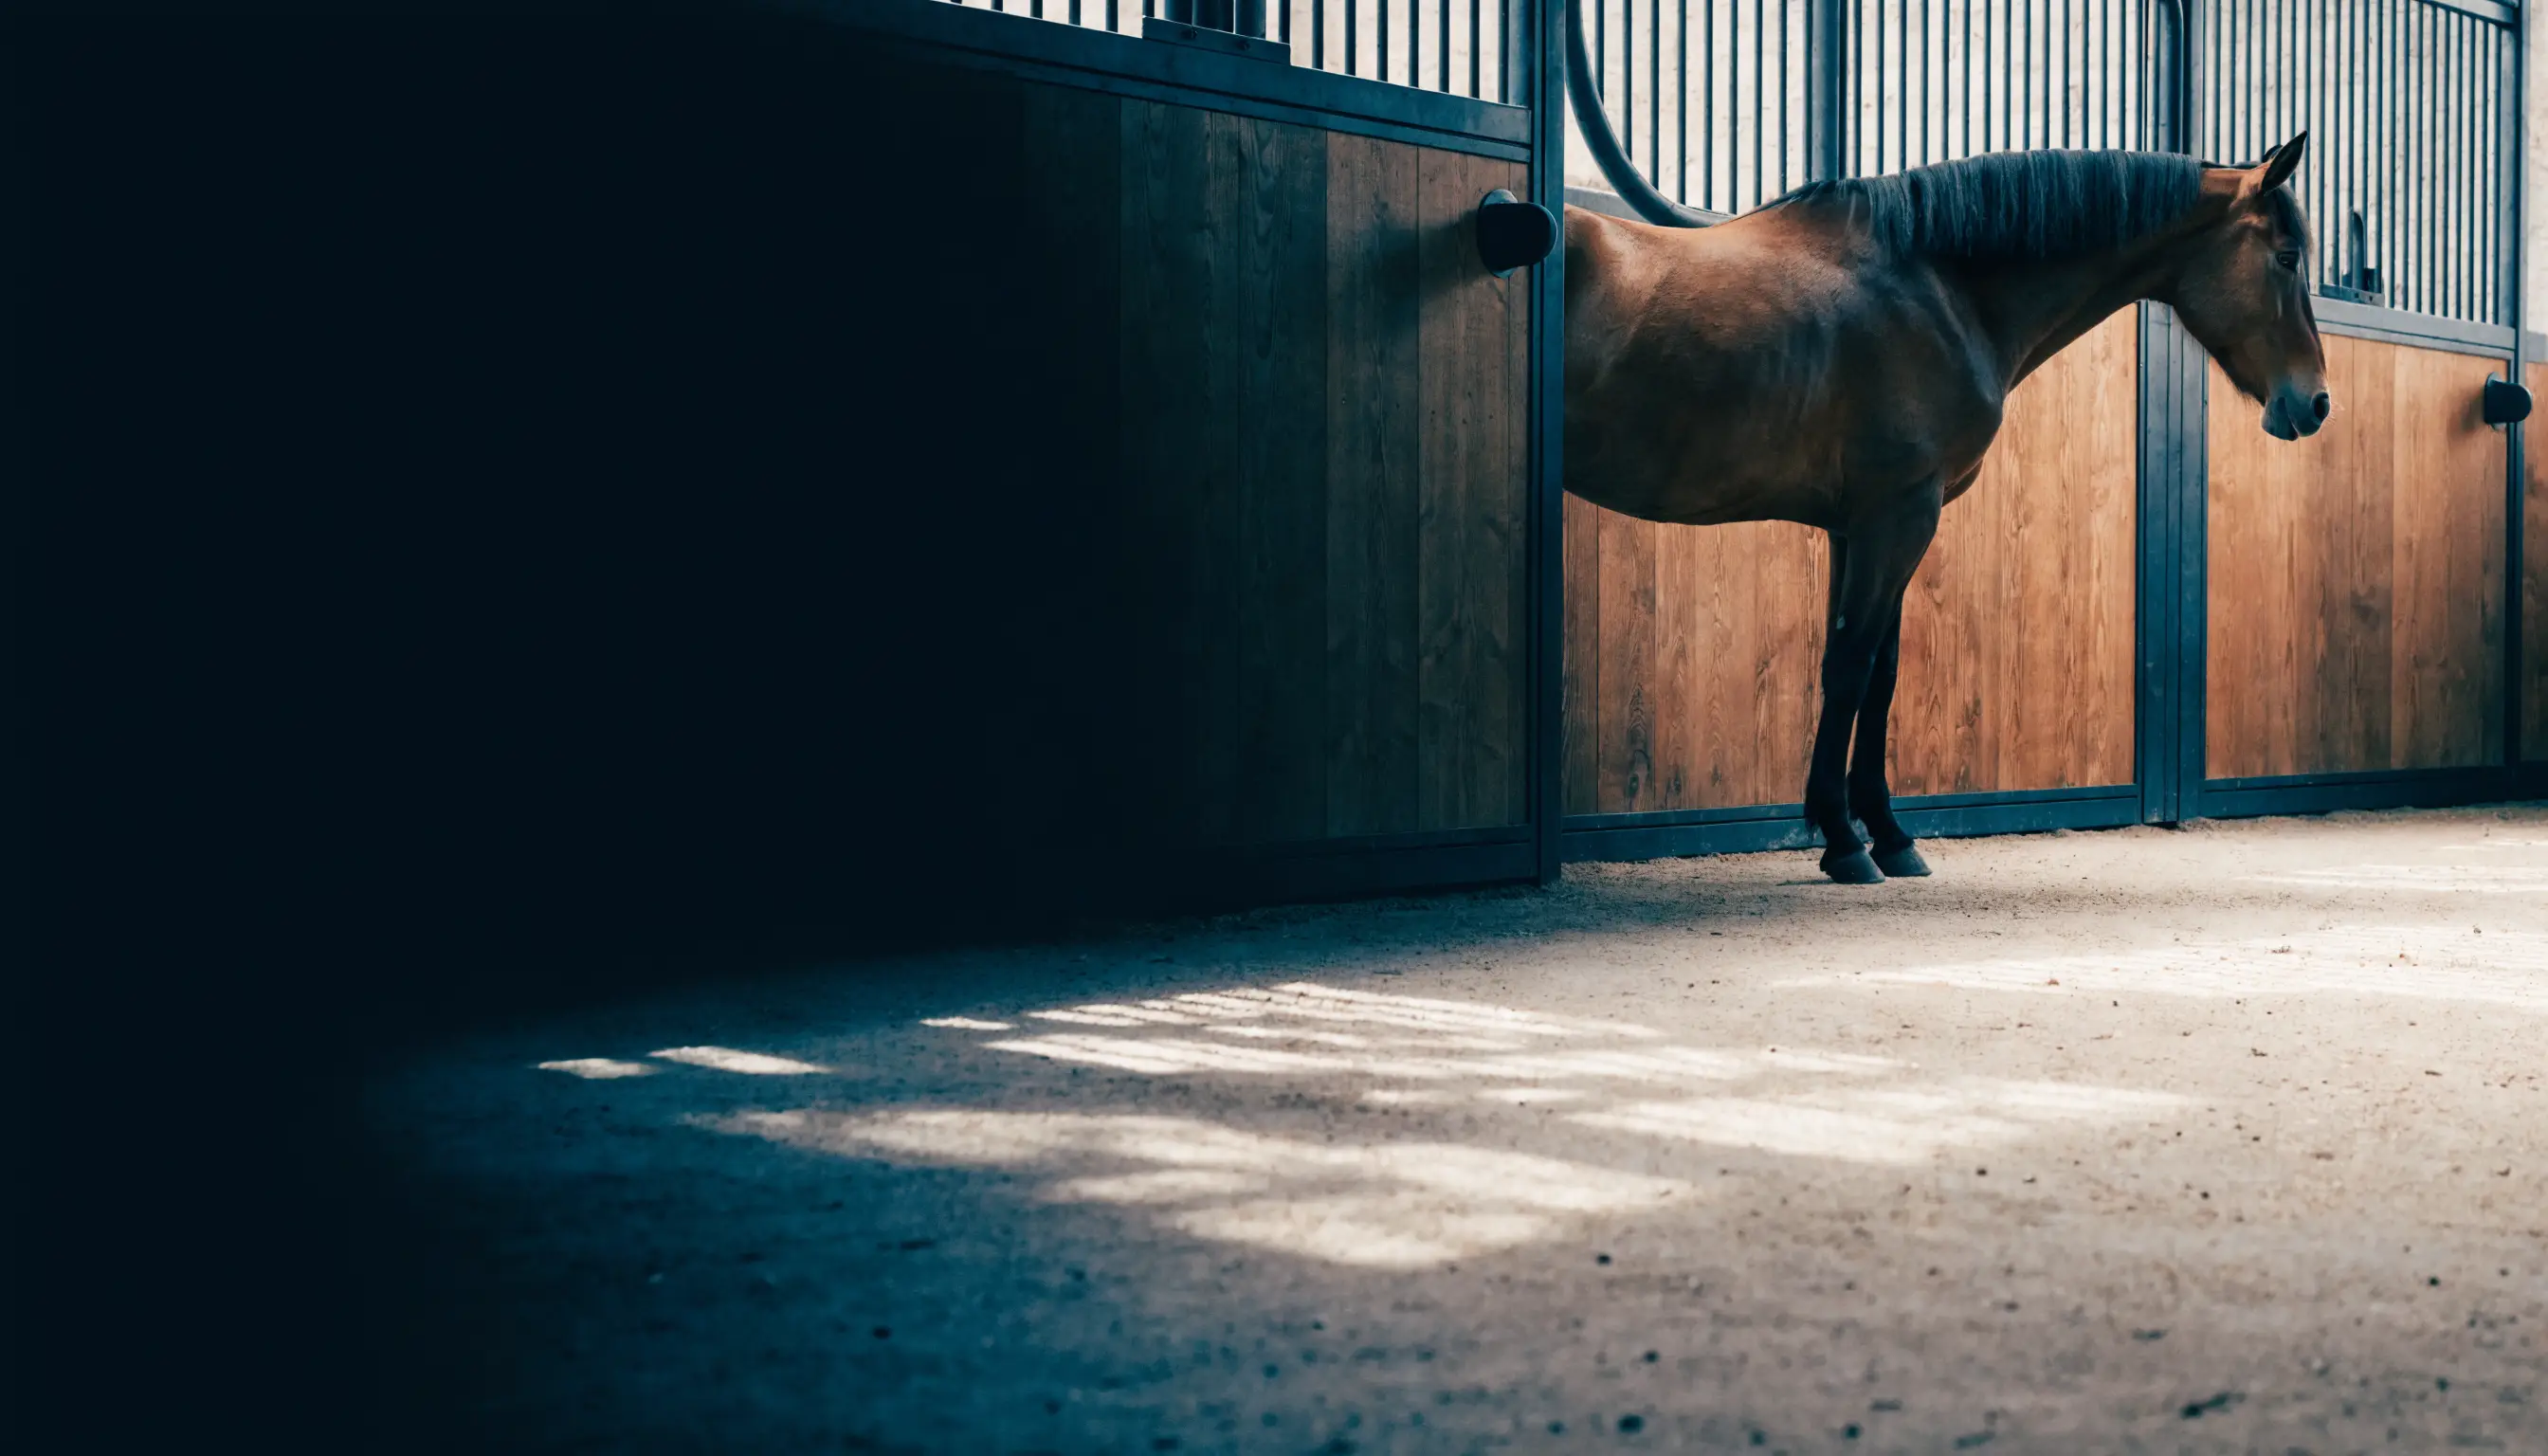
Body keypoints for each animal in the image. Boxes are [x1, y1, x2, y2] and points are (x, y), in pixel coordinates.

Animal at [1562, 139, 2327, 884]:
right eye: (2286, 258)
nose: (2316, 402)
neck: (1937, 291)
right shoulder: (1900, 515)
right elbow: (1852, 668)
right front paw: (1845, 842)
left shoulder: (1860, 527)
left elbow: (1879, 673)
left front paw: (1888, 835)